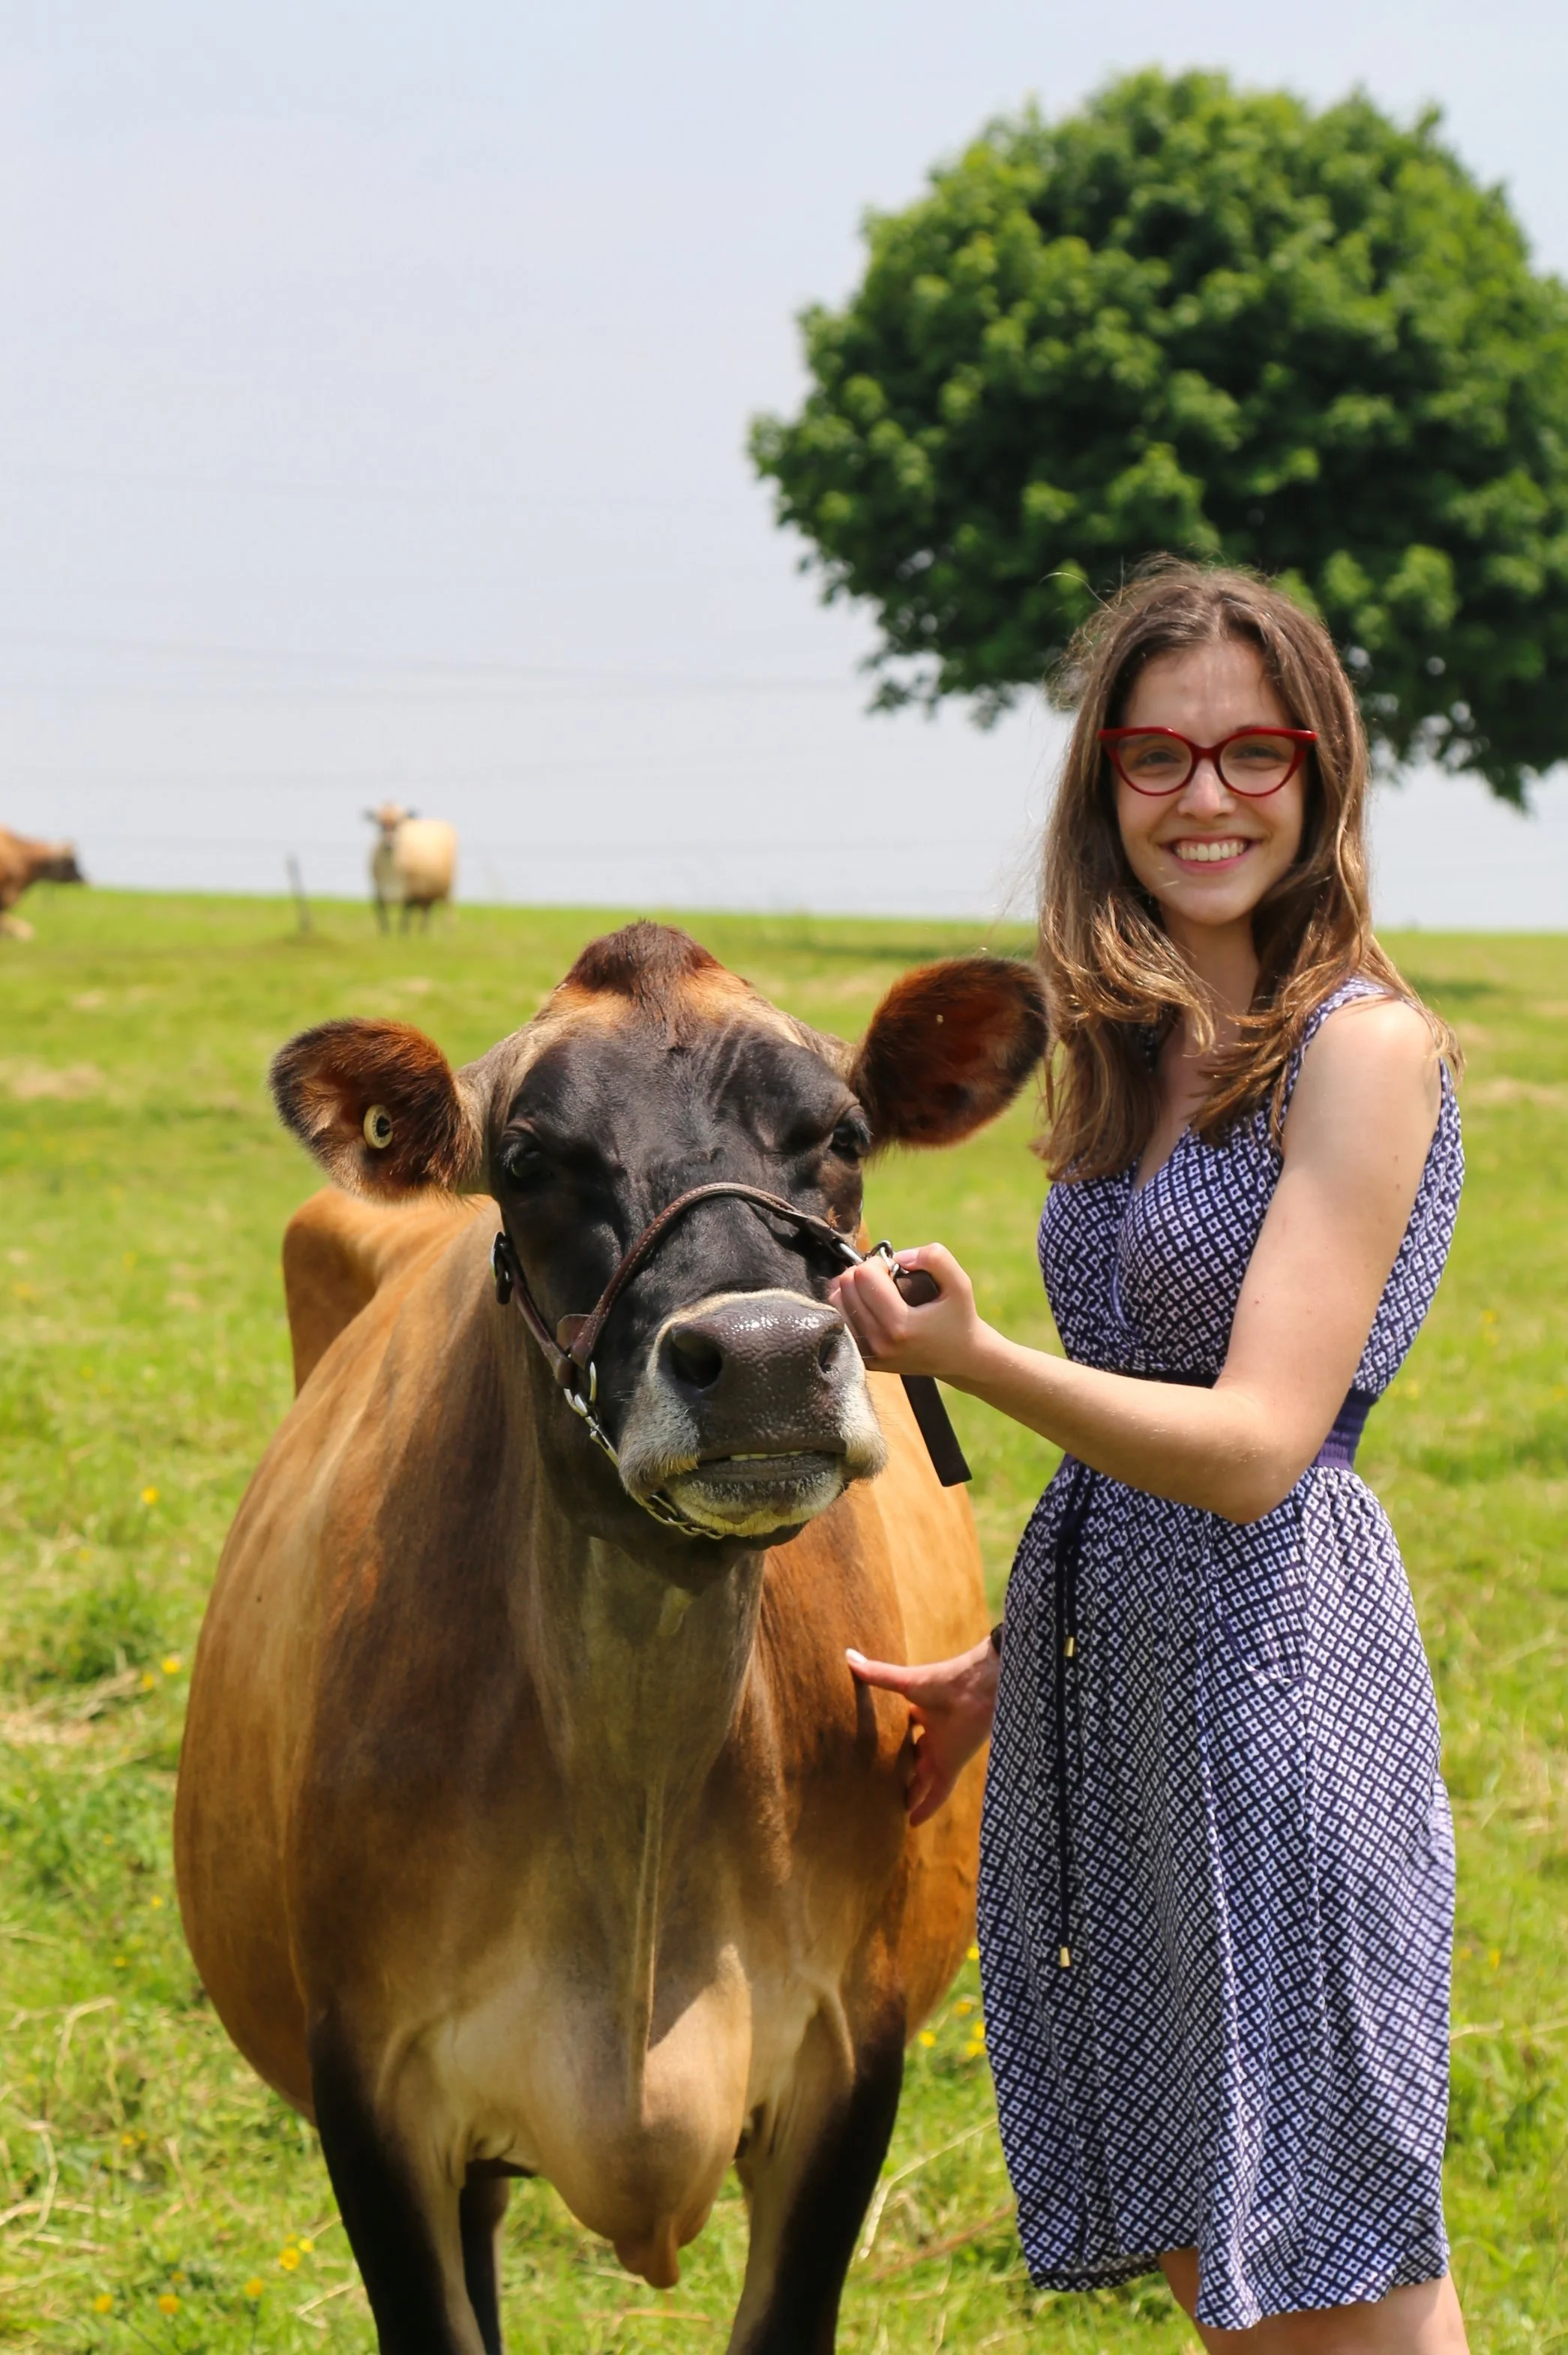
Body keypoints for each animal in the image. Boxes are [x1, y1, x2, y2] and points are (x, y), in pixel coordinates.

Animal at [367, 801, 458, 931]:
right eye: (380, 824)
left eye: (398, 823)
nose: (389, 845)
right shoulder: (378, 891)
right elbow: (383, 919)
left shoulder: (410, 892)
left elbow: (404, 919)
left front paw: (402, 933)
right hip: (427, 894)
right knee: (426, 912)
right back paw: (423, 931)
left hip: (447, 889)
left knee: (447, 908)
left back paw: (447, 929)